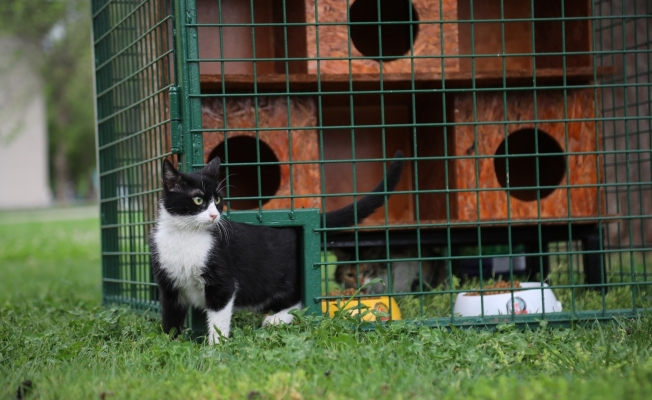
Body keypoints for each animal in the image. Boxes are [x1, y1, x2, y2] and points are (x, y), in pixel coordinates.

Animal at [150, 153, 402, 344]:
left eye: (218, 200)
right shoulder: (168, 283)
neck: (185, 236)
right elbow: (170, 315)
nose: (214, 215)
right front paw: (171, 343)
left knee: (301, 300)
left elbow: (219, 315)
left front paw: (215, 348)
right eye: (198, 200)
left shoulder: (221, 280)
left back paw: (277, 319)